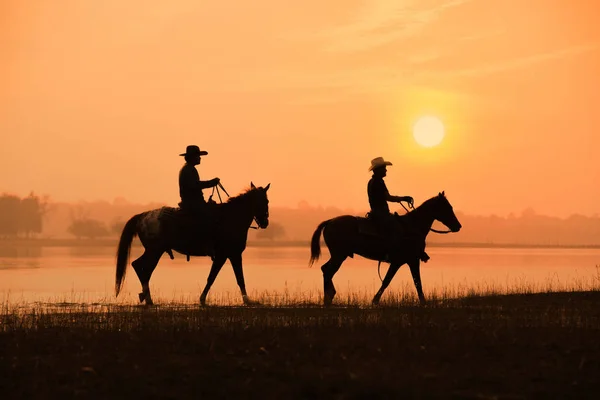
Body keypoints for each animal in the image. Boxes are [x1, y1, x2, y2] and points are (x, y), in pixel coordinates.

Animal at [115, 183, 270, 304]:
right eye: (266, 201)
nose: (265, 222)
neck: (231, 218)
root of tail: (143, 216)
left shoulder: (230, 255)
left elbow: (231, 277)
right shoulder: (228, 254)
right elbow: (218, 277)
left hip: (153, 251)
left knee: (140, 267)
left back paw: (146, 297)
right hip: (155, 251)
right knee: (143, 269)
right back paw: (147, 298)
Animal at [312, 192, 462, 308]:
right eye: (448, 207)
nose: (458, 226)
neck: (413, 227)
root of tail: (330, 221)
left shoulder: (405, 261)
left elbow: (403, 281)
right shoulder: (409, 260)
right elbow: (402, 281)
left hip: (337, 255)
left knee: (325, 269)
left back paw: (329, 296)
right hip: (339, 256)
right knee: (328, 271)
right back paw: (329, 296)